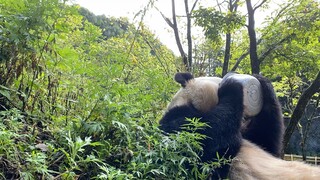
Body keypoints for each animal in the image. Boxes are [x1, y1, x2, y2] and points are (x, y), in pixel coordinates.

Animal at [159, 72, 320, 179]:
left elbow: (267, 142)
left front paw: (263, 83)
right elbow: (206, 142)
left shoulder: (249, 136)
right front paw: (232, 86)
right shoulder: (175, 129)